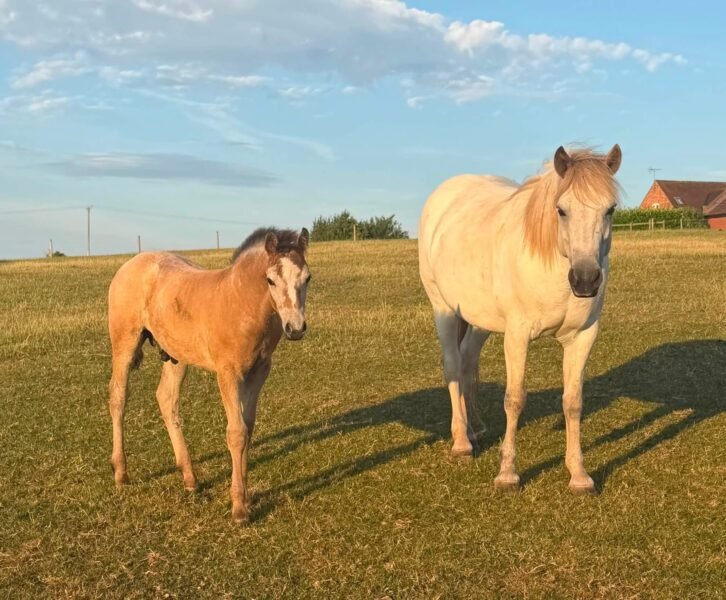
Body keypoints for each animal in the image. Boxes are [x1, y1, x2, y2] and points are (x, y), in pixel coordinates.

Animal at [107, 227, 311, 522]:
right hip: (125, 342)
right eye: (270, 280)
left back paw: (189, 477)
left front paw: (246, 498)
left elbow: (248, 428)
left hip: (176, 355)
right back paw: (121, 472)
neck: (241, 303)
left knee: (166, 399)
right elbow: (236, 432)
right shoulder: (228, 373)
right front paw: (239, 509)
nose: (295, 328)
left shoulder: (260, 371)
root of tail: (131, 263)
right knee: (118, 398)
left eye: (307, 278)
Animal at [418, 145, 622, 495]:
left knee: (468, 362)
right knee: (454, 367)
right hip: (443, 309)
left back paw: (475, 428)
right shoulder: (517, 335)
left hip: (480, 320)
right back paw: (461, 443)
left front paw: (579, 476)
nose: (585, 280)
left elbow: (573, 401)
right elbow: (514, 399)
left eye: (610, 210)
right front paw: (507, 475)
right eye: (561, 210)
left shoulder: (584, 336)